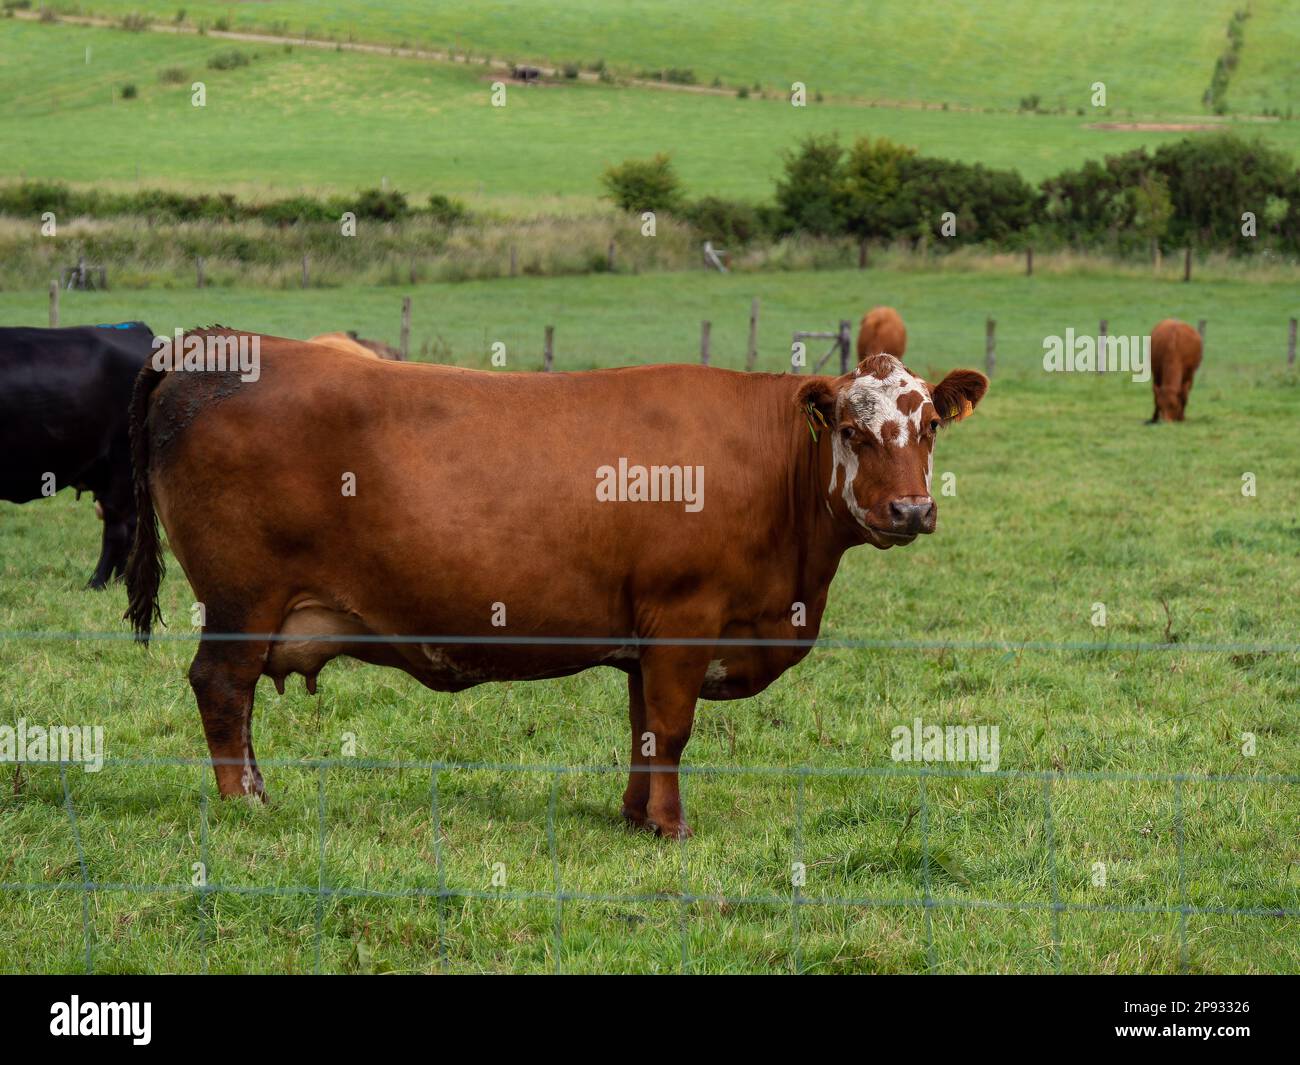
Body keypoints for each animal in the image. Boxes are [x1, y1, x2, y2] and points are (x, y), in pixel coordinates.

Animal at [126, 329, 987, 838]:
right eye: (853, 428)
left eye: (928, 426)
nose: (911, 508)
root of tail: (218, 344)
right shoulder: (686, 615)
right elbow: (672, 726)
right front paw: (671, 827)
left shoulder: (648, 634)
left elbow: (644, 729)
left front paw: (637, 814)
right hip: (242, 601)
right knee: (222, 688)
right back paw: (247, 803)